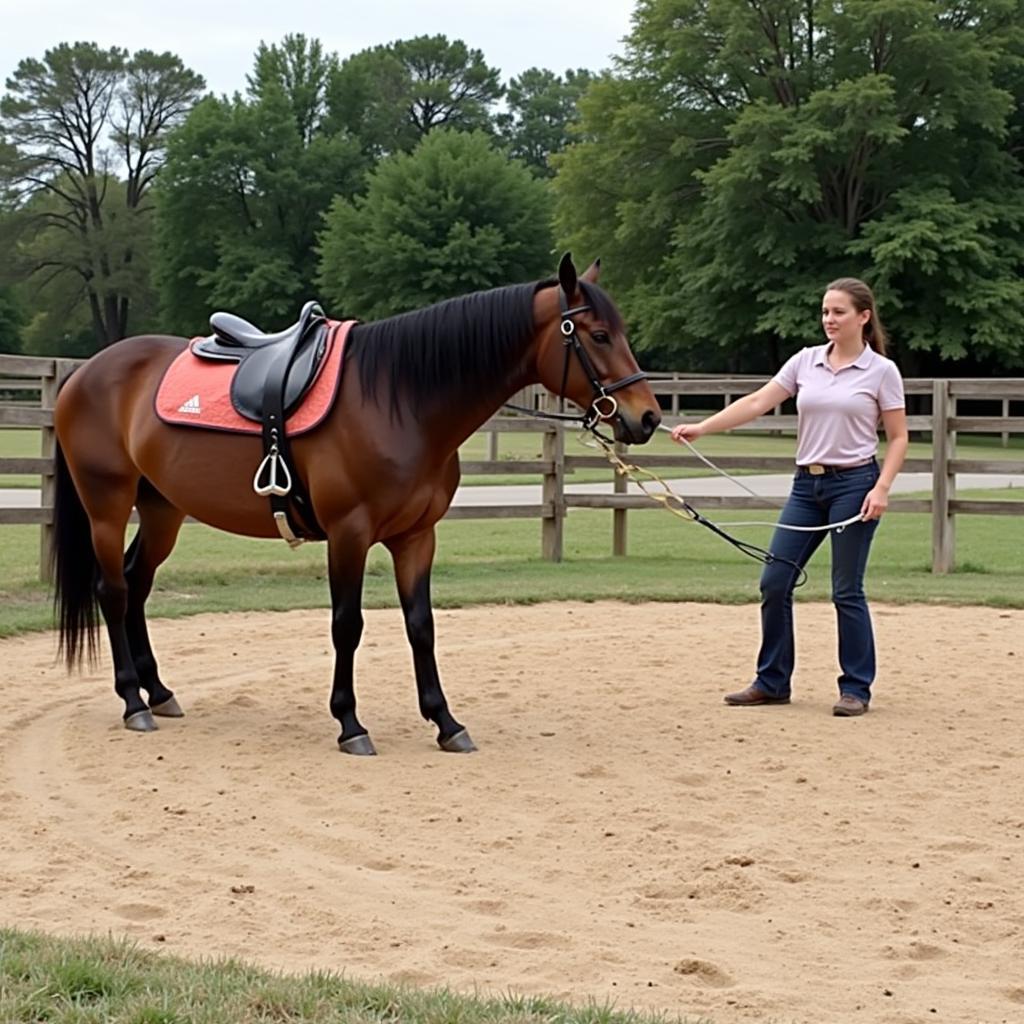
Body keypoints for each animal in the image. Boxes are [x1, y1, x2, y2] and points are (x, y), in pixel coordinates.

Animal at [54, 256, 663, 753]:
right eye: (599, 334)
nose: (648, 416)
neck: (401, 399)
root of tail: (84, 372)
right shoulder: (349, 534)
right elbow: (347, 624)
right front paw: (350, 724)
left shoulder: (417, 537)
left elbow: (421, 625)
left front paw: (445, 722)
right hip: (107, 505)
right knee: (113, 590)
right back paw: (133, 701)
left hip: (164, 510)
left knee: (138, 583)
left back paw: (158, 691)